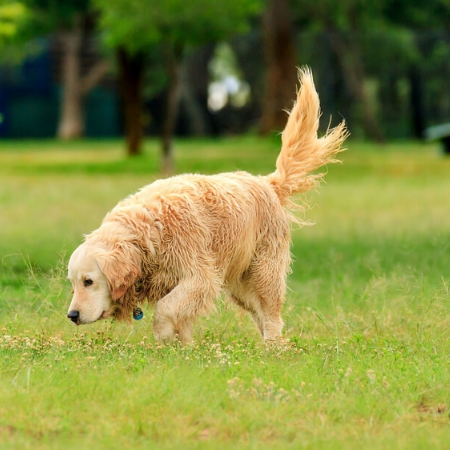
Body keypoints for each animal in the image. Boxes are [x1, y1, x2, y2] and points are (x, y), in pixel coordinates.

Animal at [67, 69, 348, 342]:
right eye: (73, 283)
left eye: (88, 281)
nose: (72, 315)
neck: (148, 232)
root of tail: (267, 182)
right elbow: (178, 318)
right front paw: (182, 347)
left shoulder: (200, 277)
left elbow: (165, 309)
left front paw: (163, 336)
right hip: (240, 286)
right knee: (259, 314)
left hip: (263, 273)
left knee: (271, 316)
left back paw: (273, 348)